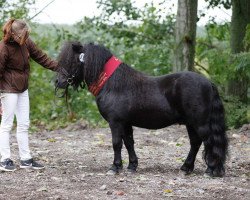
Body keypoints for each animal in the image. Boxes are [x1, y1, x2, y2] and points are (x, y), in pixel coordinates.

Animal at [55, 41, 228, 177]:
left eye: (71, 61)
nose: (58, 82)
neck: (113, 84)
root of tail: (208, 83)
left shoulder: (115, 122)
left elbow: (116, 143)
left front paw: (114, 167)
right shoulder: (126, 123)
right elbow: (129, 143)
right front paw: (132, 166)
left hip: (200, 123)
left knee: (209, 142)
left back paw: (210, 170)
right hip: (190, 123)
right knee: (195, 143)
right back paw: (186, 168)